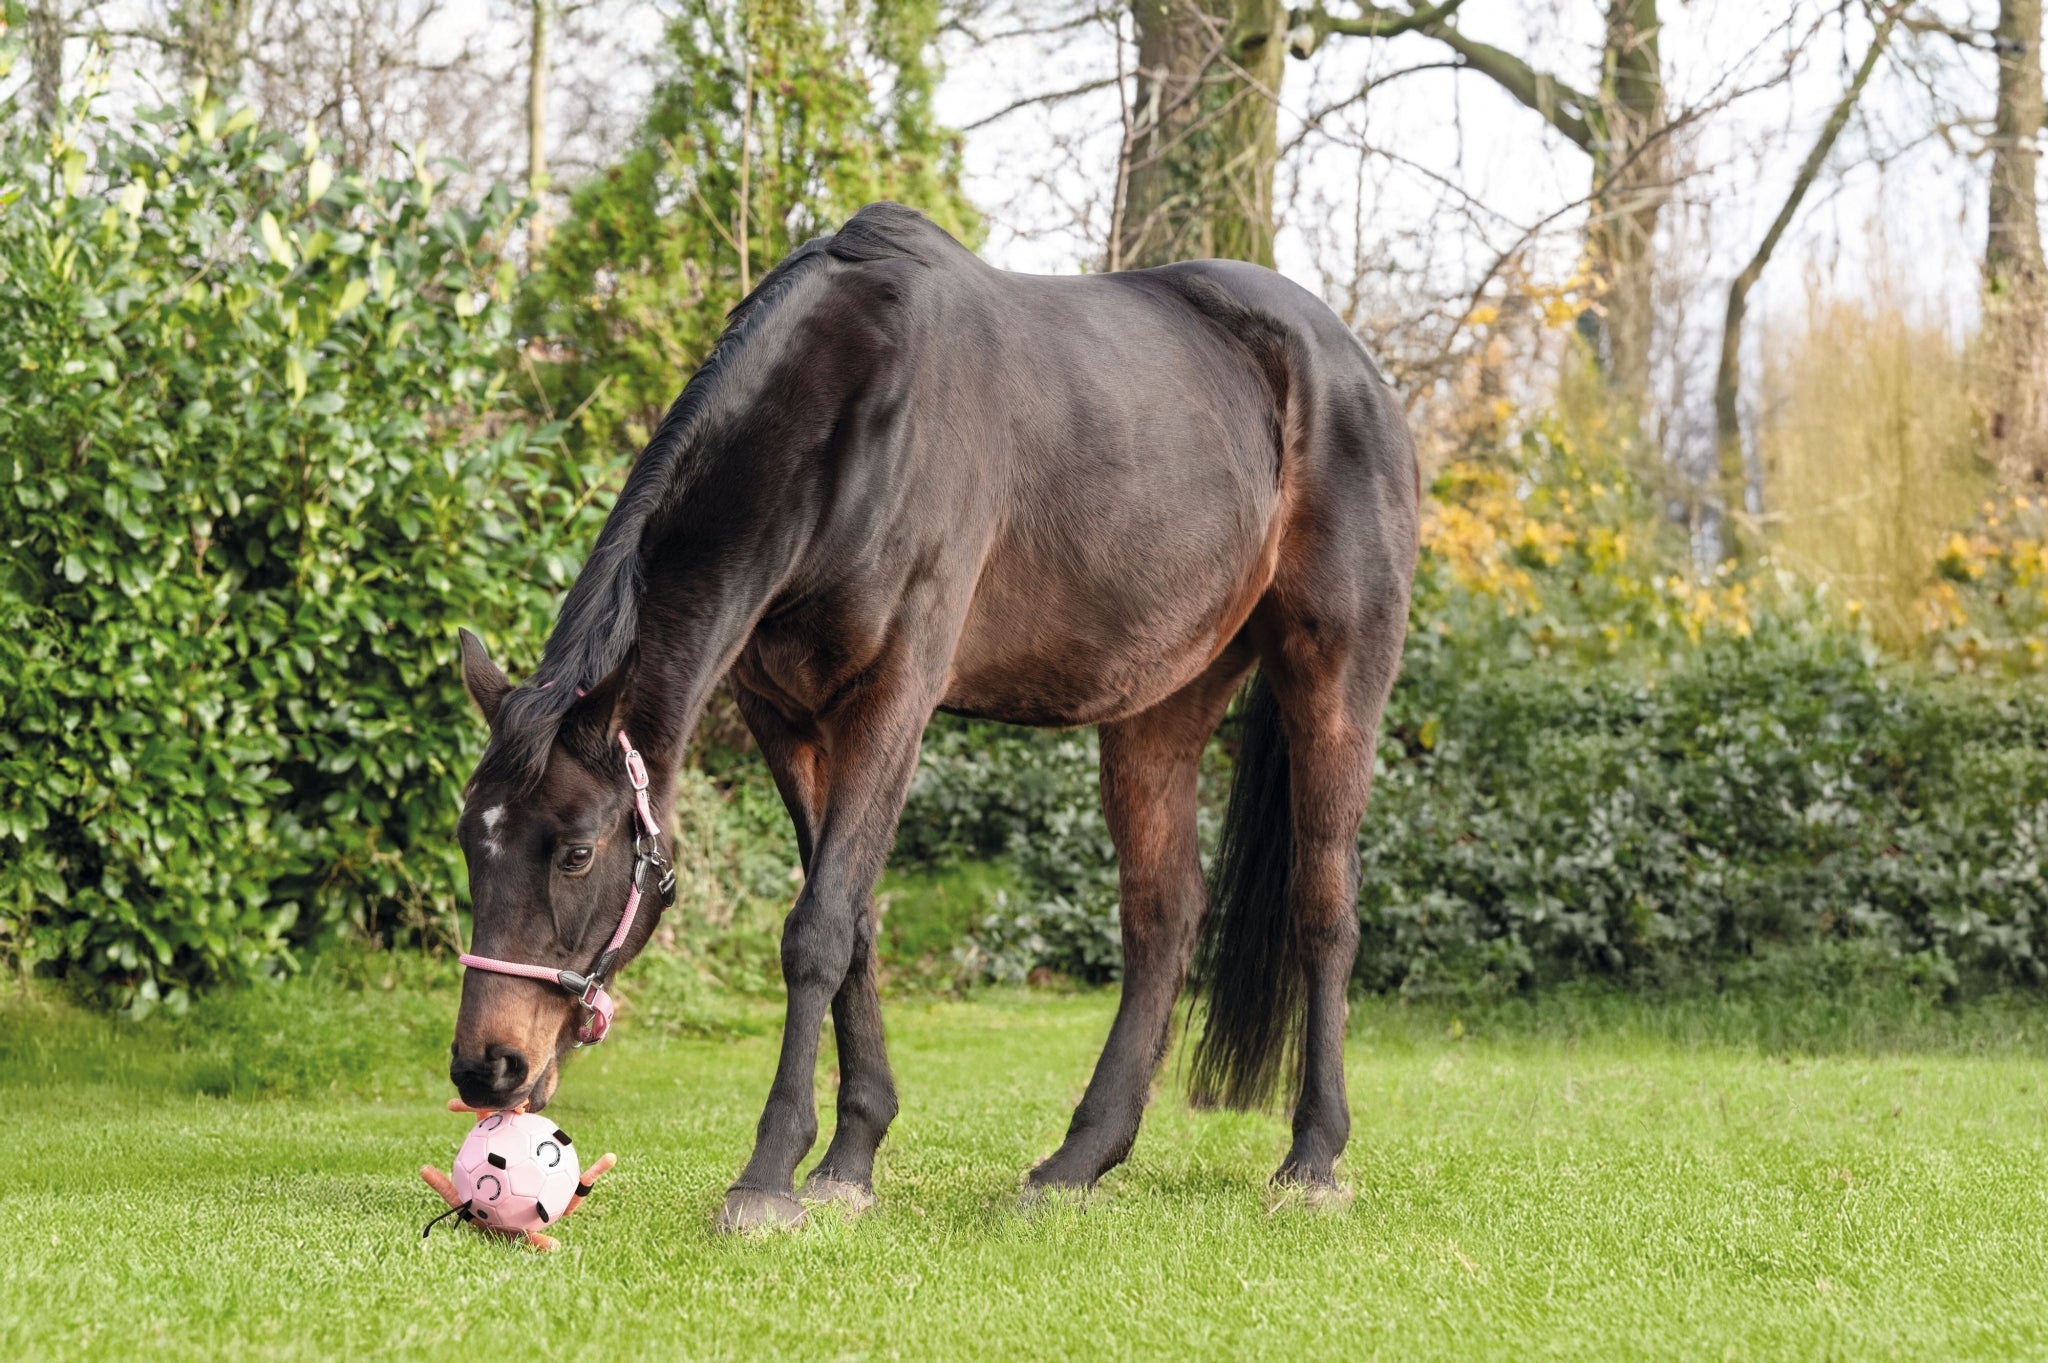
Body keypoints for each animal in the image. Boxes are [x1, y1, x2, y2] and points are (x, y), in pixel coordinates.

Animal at [449, 202, 1418, 1230]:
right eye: (471, 841)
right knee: (1163, 915)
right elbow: (855, 923)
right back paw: (1076, 1159)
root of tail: (1353, 367)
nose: (486, 1067)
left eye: (577, 852)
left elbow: (817, 928)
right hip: (1161, 704)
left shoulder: (894, 698)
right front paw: (849, 1158)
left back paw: (1312, 1158)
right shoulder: (786, 718)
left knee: (1324, 906)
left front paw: (769, 1175)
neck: (854, 417)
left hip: (1335, 676)